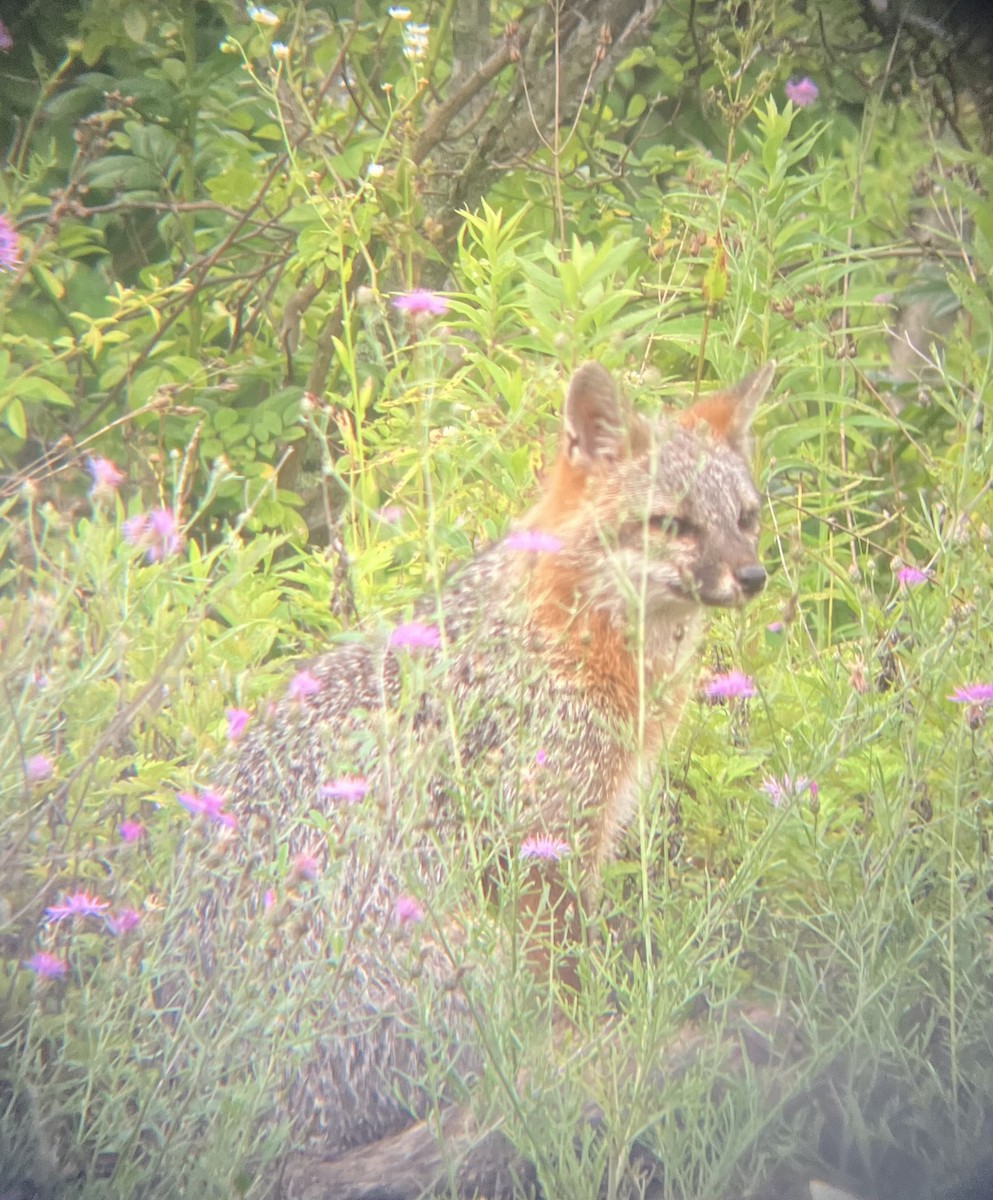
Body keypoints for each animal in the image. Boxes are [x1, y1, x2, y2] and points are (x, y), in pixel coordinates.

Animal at [108, 360, 774, 1199]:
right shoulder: (541, 848)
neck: (567, 628)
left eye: (745, 517)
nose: (751, 575)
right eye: (671, 523)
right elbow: (571, 991)